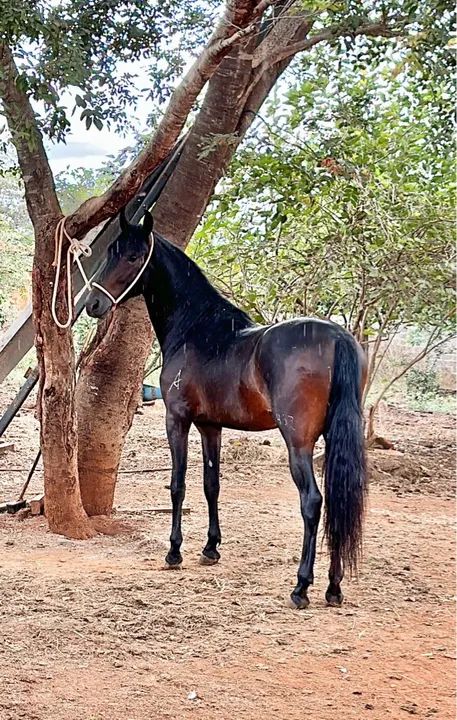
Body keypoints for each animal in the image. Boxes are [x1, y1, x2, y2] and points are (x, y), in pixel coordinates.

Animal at [86, 210, 367, 609]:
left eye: (133, 256)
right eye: (111, 251)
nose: (93, 304)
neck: (198, 329)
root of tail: (338, 336)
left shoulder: (177, 420)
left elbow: (178, 485)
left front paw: (174, 551)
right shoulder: (210, 426)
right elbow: (211, 485)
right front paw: (210, 548)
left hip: (298, 442)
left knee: (312, 502)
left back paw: (301, 587)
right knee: (339, 499)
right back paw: (333, 587)